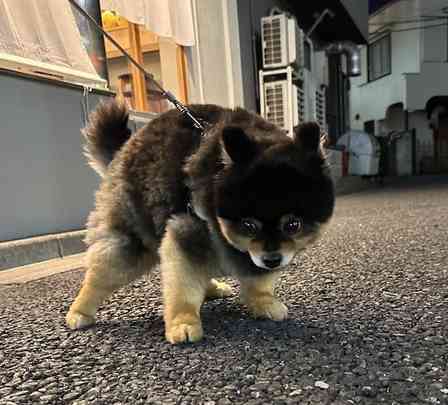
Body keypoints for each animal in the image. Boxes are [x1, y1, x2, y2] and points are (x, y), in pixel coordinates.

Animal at [66, 99, 332, 342]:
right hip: (131, 237)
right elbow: (183, 285)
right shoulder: (186, 231)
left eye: (293, 225)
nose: (272, 259)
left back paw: (212, 288)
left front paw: (264, 302)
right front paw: (183, 322)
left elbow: (259, 280)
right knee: (104, 271)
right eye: (248, 226)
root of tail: (122, 151)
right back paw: (79, 311)